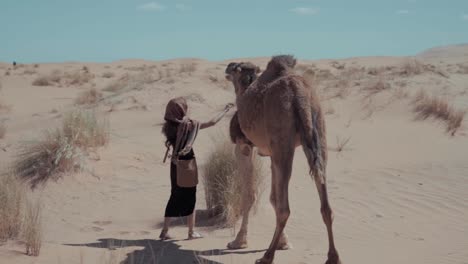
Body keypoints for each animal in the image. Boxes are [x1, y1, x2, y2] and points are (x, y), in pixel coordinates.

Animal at [224, 54, 340, 262]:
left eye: (236, 68)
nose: (227, 67)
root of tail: (298, 93)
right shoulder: (271, 153)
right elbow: (273, 197)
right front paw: (283, 243)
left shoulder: (243, 145)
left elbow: (249, 194)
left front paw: (238, 241)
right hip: (317, 133)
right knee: (325, 203)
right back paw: (333, 257)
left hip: (282, 137)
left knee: (285, 209)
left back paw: (266, 257)